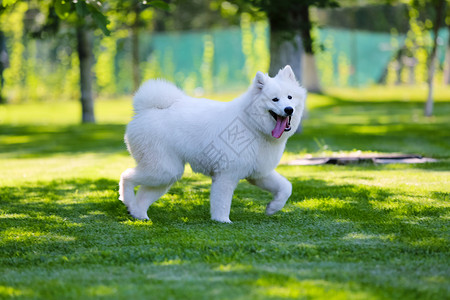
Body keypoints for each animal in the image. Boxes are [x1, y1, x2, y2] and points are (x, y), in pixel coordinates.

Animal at [118, 65, 306, 223]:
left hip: (166, 174)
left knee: (143, 195)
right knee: (126, 176)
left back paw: (138, 214)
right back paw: (128, 200)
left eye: (290, 97)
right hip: (162, 170)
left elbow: (286, 187)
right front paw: (222, 221)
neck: (252, 125)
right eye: (275, 99)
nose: (289, 109)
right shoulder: (226, 175)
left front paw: (273, 208)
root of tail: (146, 109)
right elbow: (221, 202)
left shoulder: (259, 173)